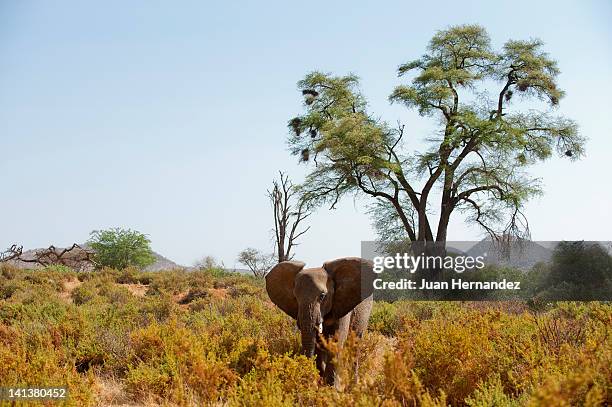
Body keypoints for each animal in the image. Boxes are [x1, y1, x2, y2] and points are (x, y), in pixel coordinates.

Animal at [266, 256, 376, 388]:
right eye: (295, 297)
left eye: (322, 296)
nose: (308, 379)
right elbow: (318, 343)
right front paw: (320, 382)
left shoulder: (342, 305)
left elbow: (336, 341)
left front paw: (331, 388)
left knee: (355, 343)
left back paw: (353, 384)